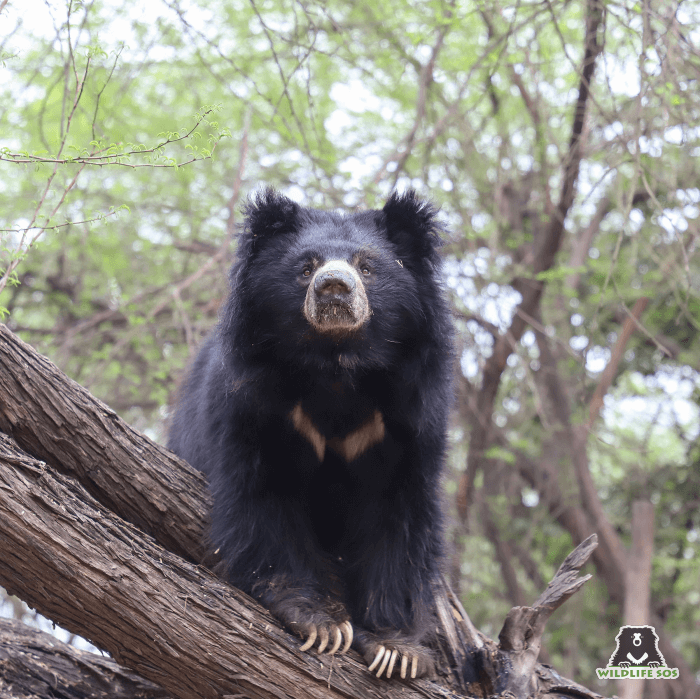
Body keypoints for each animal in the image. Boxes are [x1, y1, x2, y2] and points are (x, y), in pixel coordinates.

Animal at [169, 187, 454, 680]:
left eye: (367, 266)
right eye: (306, 267)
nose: (333, 287)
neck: (336, 365)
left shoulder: (409, 416)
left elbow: (399, 513)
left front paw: (395, 647)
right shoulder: (255, 401)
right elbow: (264, 497)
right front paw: (321, 622)